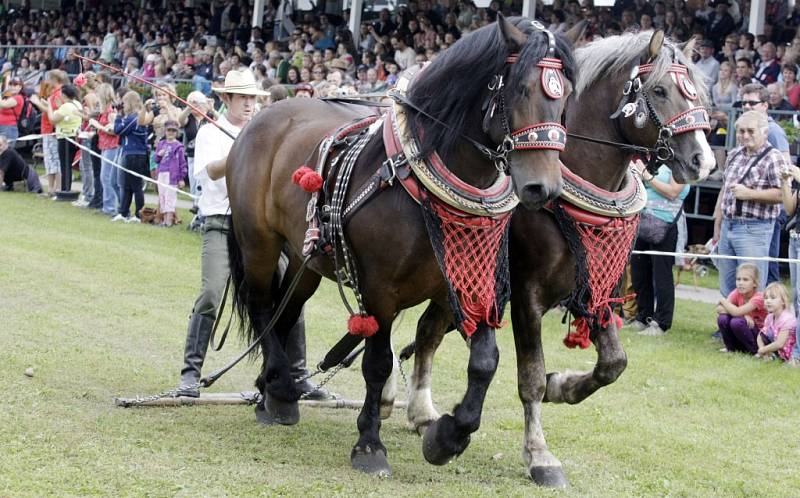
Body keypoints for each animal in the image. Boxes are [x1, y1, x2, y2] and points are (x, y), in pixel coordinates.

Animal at [228, 14, 580, 474]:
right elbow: (377, 364)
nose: (544, 187)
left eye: (566, 96)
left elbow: (485, 362)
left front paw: (447, 436)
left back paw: (272, 394)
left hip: (307, 261)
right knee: (261, 305)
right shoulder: (379, 289)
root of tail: (263, 116)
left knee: (284, 313)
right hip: (259, 242)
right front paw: (369, 444)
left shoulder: (476, 282)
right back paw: (284, 388)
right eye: (520, 89)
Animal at [404, 31, 716, 486]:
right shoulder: (526, 295)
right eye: (660, 91)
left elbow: (613, 363)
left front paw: (562, 386)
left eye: (698, 92)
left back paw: (421, 411)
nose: (703, 161)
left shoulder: (597, 286)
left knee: (427, 332)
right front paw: (539, 453)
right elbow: (530, 377)